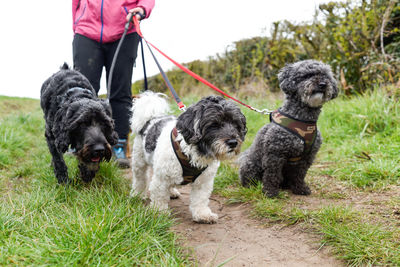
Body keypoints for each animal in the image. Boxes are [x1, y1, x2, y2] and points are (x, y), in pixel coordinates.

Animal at [130, 92, 247, 224]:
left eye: (236, 124)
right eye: (214, 125)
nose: (233, 142)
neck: (194, 151)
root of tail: (152, 118)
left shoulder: (204, 181)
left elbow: (200, 199)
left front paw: (202, 214)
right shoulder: (161, 178)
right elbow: (159, 196)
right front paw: (159, 212)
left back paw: (172, 192)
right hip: (139, 161)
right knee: (139, 179)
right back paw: (138, 194)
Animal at [239, 61, 340, 199]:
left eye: (326, 76)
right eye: (307, 75)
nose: (323, 84)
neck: (303, 120)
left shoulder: (307, 157)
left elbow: (300, 174)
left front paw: (300, 188)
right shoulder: (275, 154)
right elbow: (271, 175)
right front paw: (270, 192)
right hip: (251, 164)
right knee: (250, 177)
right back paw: (250, 185)